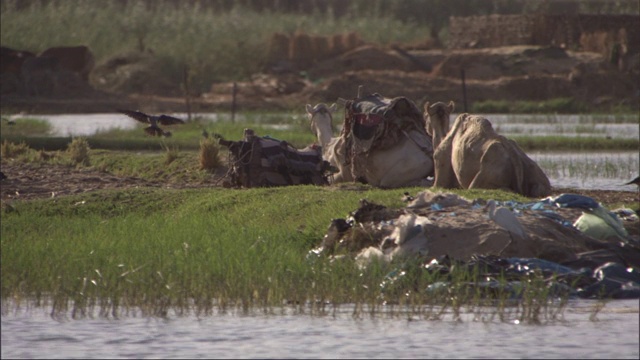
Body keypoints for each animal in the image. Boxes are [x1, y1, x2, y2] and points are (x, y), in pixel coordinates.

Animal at [424, 100, 552, 197]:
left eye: (425, 116)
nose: (426, 127)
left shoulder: (440, 161)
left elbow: (438, 185)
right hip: (533, 170)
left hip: (491, 169)